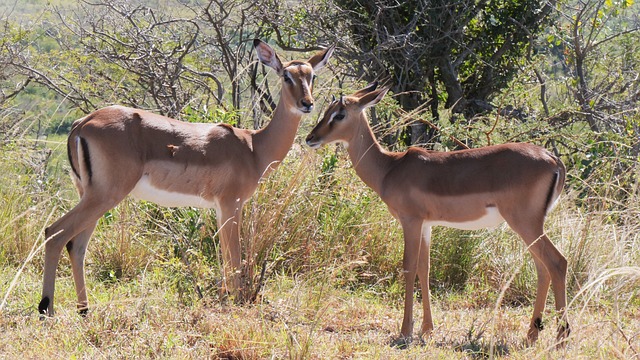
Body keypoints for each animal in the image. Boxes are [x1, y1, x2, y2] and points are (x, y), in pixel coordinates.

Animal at [38, 38, 336, 316]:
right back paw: (46, 309)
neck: (253, 147)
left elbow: (226, 257)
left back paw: (84, 309)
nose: (307, 104)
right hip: (104, 196)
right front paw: (235, 303)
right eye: (286, 76)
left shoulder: (220, 209)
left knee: (76, 246)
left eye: (311, 76)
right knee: (54, 233)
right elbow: (234, 257)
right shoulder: (231, 205)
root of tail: (81, 124)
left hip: (91, 196)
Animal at [304, 83, 568, 346]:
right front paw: (427, 329)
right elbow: (425, 268)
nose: (310, 138)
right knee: (542, 268)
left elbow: (408, 267)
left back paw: (561, 336)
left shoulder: (410, 221)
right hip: (528, 228)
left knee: (557, 262)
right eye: (327, 111)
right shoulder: (426, 225)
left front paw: (405, 331)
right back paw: (532, 334)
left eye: (339, 114)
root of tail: (554, 160)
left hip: (525, 223)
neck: (389, 168)